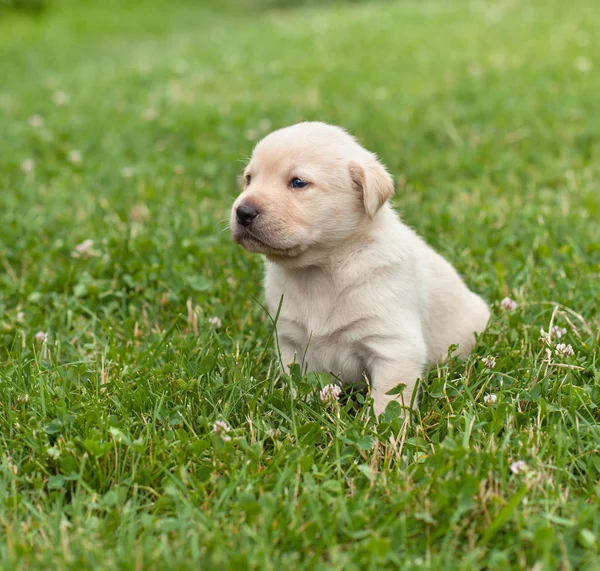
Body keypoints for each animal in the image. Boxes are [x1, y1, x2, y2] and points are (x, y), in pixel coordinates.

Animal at [229, 122, 488, 416]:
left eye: (298, 182)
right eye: (249, 178)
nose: (243, 211)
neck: (321, 269)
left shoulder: (394, 347)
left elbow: (387, 403)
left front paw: (381, 427)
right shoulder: (291, 342)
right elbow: (297, 385)